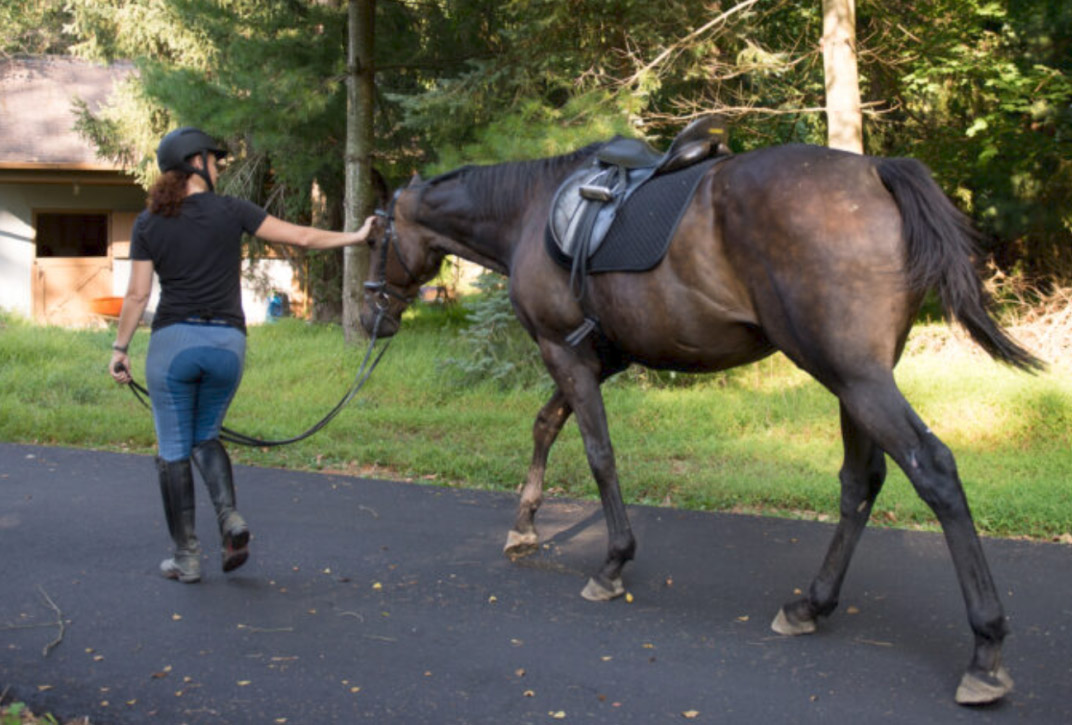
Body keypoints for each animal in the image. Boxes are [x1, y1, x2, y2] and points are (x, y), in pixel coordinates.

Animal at [358, 139, 1042, 705]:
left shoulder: (565, 351)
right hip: (856, 380)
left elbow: (598, 452)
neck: (526, 214)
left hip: (853, 375)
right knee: (861, 481)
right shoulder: (595, 356)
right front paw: (524, 526)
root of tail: (876, 171)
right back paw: (811, 606)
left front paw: (612, 563)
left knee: (934, 470)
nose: (371, 318)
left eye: (373, 238)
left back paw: (985, 652)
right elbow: (546, 424)